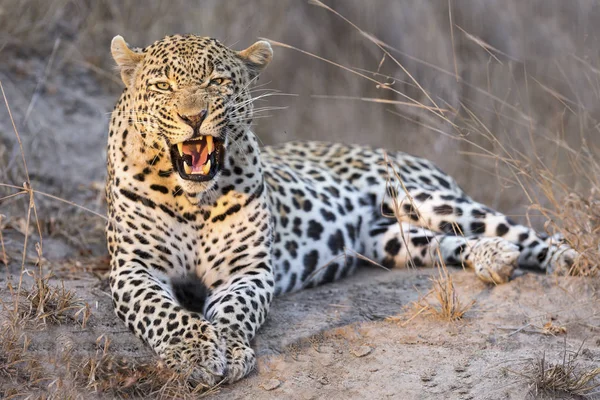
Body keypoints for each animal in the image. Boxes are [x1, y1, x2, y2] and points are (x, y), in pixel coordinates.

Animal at [106, 33, 576, 384]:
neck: (191, 197)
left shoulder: (246, 269)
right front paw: (196, 353)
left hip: (420, 197)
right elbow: (162, 310)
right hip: (392, 241)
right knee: (449, 243)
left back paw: (565, 260)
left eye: (218, 82)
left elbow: (235, 311)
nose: (194, 117)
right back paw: (494, 259)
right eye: (163, 87)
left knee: (515, 229)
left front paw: (230, 349)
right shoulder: (133, 268)